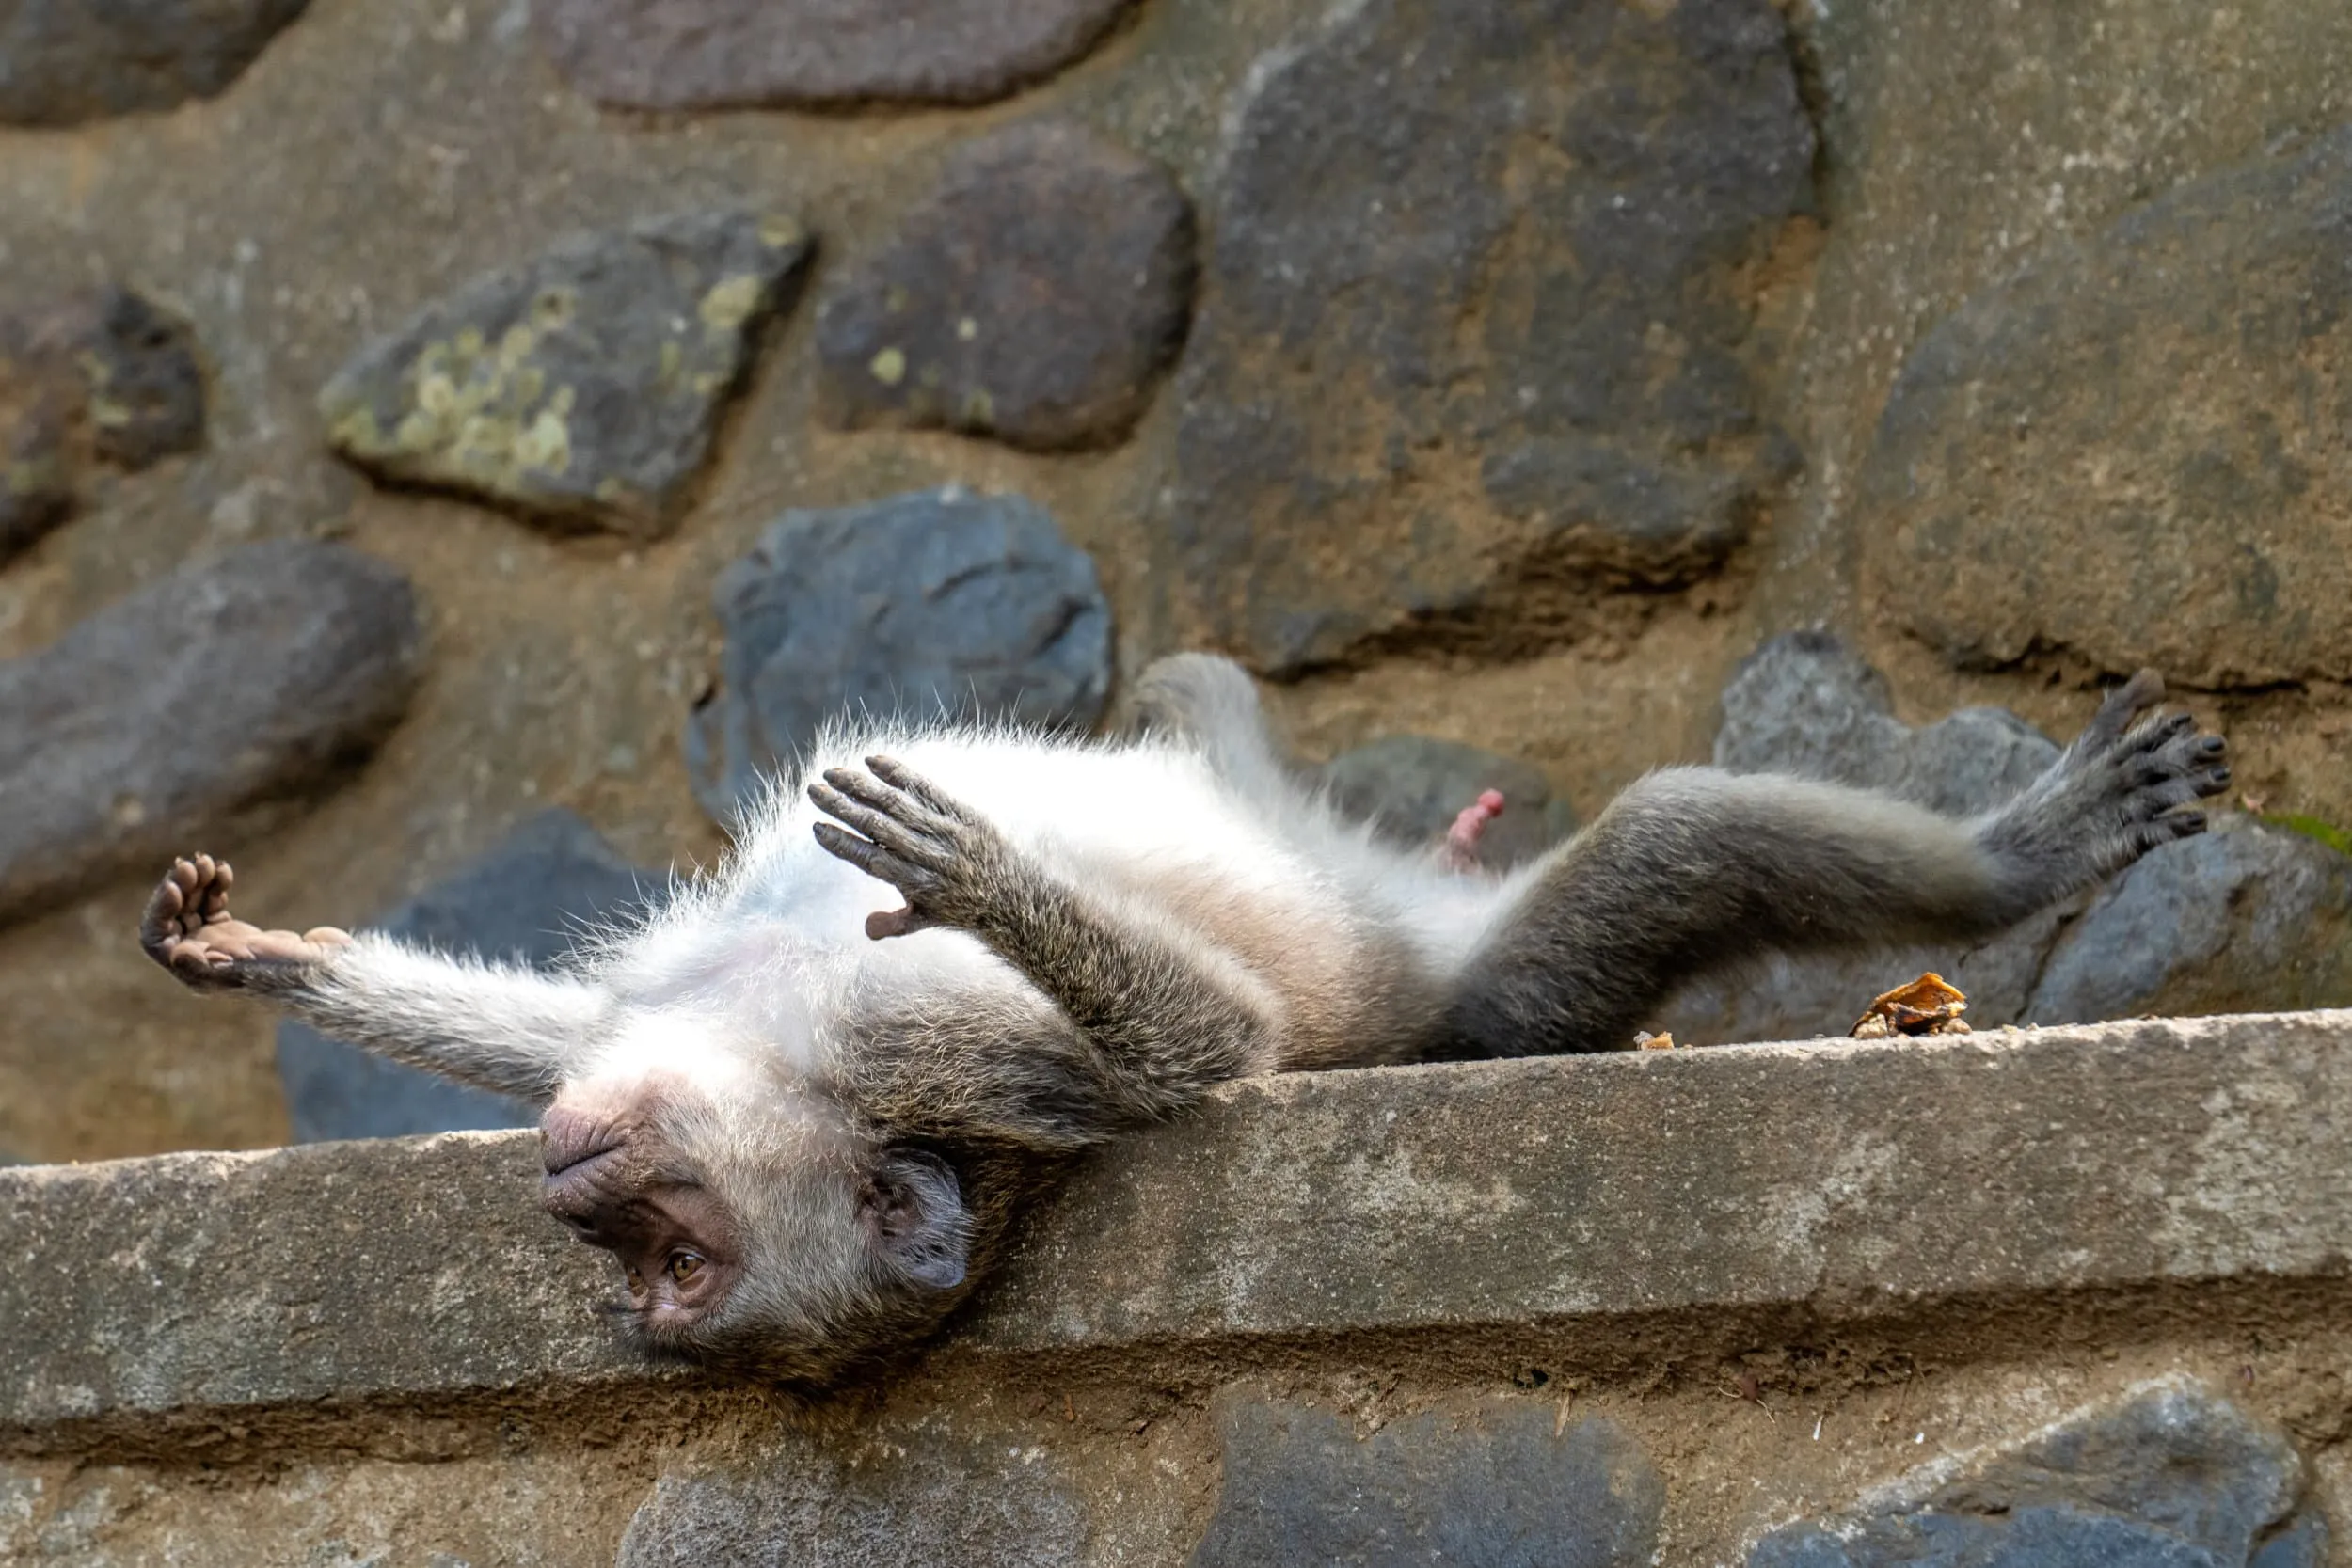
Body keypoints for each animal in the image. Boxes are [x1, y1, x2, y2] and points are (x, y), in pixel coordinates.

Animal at [138, 653, 2227, 1386]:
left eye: (667, 1238)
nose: (579, 1203)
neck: (779, 1047)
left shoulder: (868, 1041)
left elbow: (1196, 1037)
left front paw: (270, 957)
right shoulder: (879, 1062)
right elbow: (1212, 1043)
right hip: (1495, 981)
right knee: (1658, 849)